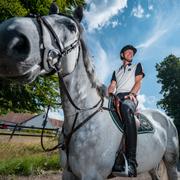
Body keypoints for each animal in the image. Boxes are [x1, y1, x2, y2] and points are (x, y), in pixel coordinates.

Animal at [0, 7, 179, 180]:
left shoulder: (93, 175)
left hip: (172, 163)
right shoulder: (68, 173)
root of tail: (167, 119)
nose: (8, 37)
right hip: (152, 165)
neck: (82, 116)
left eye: (71, 27)